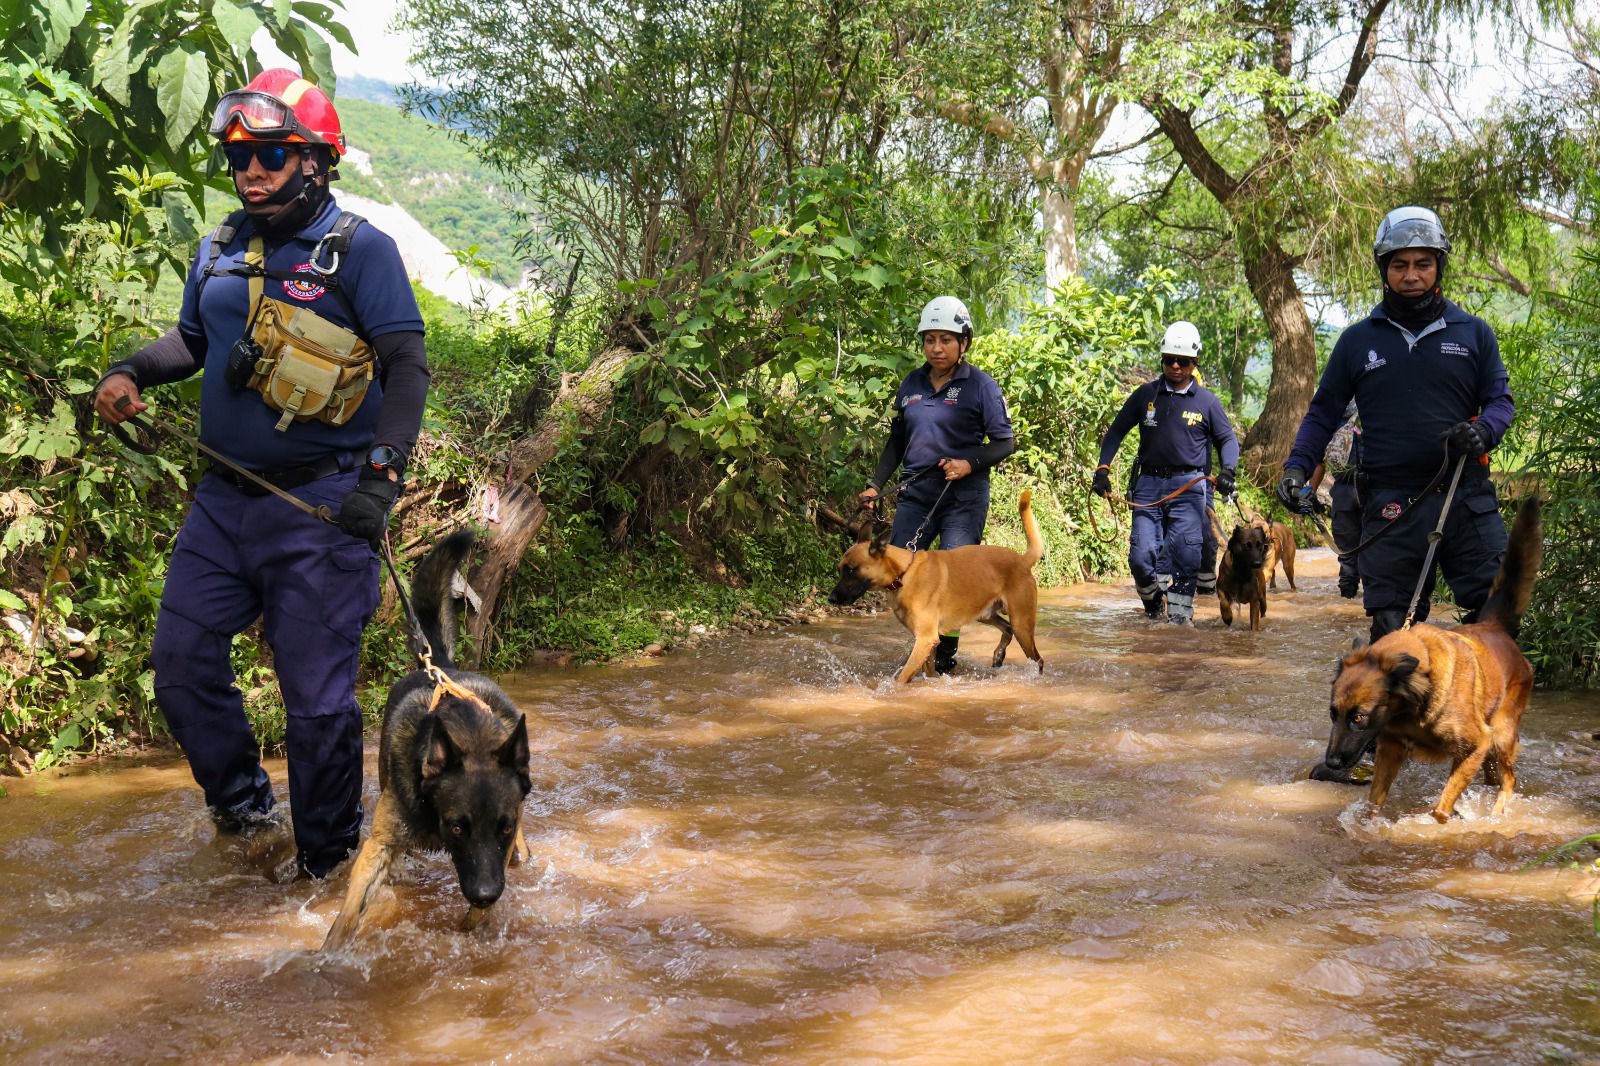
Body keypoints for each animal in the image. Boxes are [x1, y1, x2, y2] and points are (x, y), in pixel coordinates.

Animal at [321, 528, 534, 947]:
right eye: (457, 827)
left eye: (502, 827)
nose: (486, 894)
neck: (469, 735)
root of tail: (442, 665)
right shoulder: (379, 846)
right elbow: (349, 912)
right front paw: (327, 954)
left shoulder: (501, 848)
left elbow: (475, 916)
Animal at [825, 489, 1049, 681]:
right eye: (840, 569)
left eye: (851, 570)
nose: (831, 599)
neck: (904, 573)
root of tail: (1022, 560)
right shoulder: (928, 642)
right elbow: (929, 672)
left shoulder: (925, 639)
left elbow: (902, 678)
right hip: (986, 615)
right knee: (1007, 628)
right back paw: (999, 654)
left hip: (1022, 625)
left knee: (1037, 659)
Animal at [1318, 492, 1542, 816]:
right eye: (1333, 714)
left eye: (1359, 717)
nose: (1332, 763)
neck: (1413, 701)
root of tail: (1493, 626)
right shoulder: (1391, 749)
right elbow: (1374, 802)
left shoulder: (1477, 744)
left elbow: (1440, 809)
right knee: (1494, 777)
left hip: (1501, 736)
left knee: (1509, 781)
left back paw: (1496, 814)